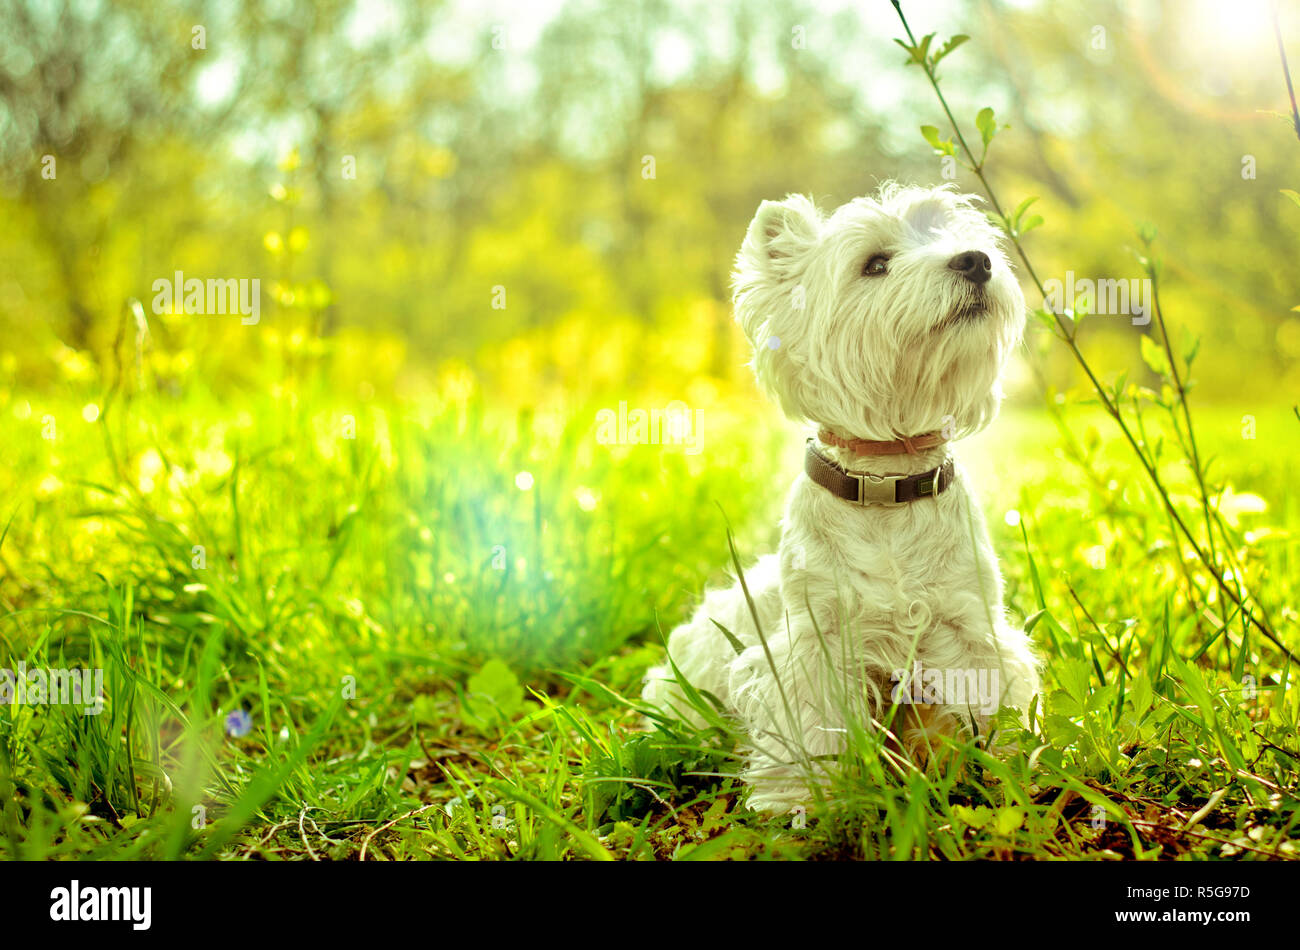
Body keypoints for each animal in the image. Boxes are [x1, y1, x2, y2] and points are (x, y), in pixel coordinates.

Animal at [644, 184, 1040, 810]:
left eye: (955, 236)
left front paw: (1003, 772)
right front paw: (799, 799)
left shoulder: (968, 628)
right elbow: (809, 726)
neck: (887, 486)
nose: (976, 260)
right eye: (875, 264)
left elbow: (987, 704)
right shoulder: (817, 643)